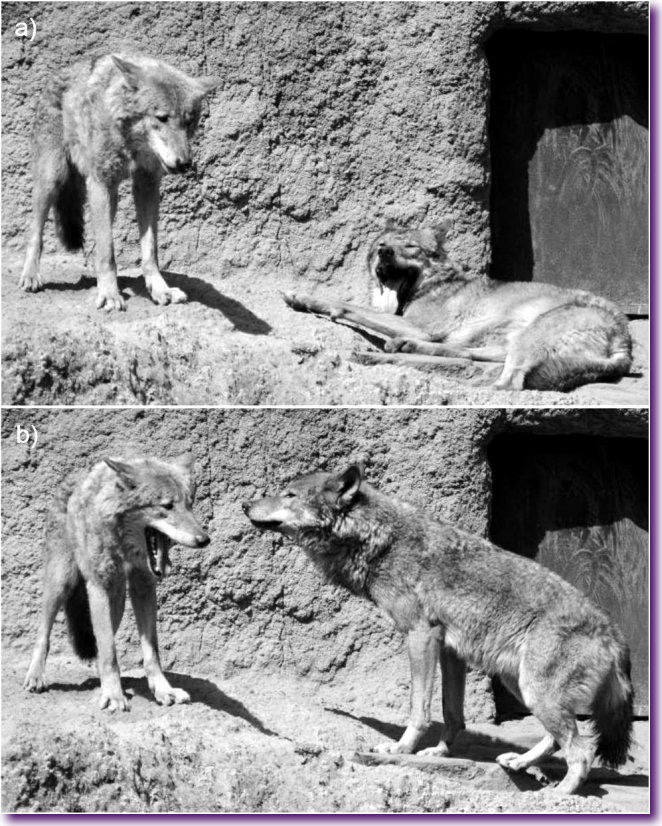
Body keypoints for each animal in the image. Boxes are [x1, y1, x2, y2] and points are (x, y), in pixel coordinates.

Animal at [19, 54, 216, 310]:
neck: (132, 143)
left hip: (109, 197)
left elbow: (150, 251)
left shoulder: (146, 186)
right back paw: (31, 275)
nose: (184, 163)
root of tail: (57, 75)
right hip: (53, 180)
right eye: (161, 118)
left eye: (189, 122)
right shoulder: (100, 182)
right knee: (36, 232)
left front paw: (160, 289)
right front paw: (110, 295)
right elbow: (107, 252)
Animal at [24, 454, 210, 711]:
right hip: (61, 582)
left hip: (118, 600)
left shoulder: (144, 588)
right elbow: (109, 651)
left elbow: (150, 652)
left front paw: (163, 690)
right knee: (44, 633)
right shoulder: (99, 587)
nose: (204, 539)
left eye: (190, 504)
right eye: (167, 506)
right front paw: (113, 695)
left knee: (98, 640)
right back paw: (36, 676)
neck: (125, 548)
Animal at [243, 464, 634, 795]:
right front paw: (440, 753)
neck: (381, 541)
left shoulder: (421, 635)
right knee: (560, 739)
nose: (245, 504)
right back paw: (519, 762)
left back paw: (557, 795)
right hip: (521, 686)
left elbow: (419, 708)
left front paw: (400, 748)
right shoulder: (450, 650)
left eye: (290, 494)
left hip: (534, 691)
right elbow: (452, 714)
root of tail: (615, 635)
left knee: (582, 751)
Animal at [284, 223, 633, 391]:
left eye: (409, 246)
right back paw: (404, 346)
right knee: (469, 355)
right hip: (511, 340)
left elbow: (347, 305)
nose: (384, 252)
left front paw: (307, 299)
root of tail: (625, 339)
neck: (433, 285)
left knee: (509, 383)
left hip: (530, 338)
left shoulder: (419, 325)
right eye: (382, 244)